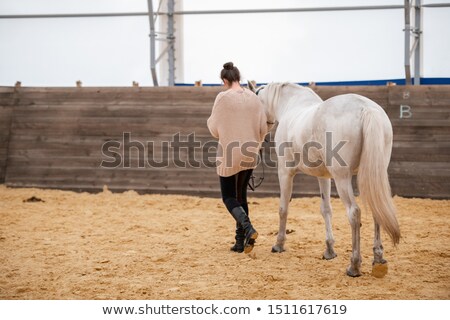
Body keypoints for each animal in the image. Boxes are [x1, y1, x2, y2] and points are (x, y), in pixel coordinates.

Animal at [250, 82, 400, 278]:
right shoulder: (324, 177)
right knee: (377, 210)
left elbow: (283, 209)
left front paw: (279, 244)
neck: (291, 104)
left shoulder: (285, 172)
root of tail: (366, 108)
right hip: (372, 174)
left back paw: (354, 265)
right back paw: (378, 259)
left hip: (342, 178)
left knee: (354, 213)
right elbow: (326, 210)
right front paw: (329, 250)